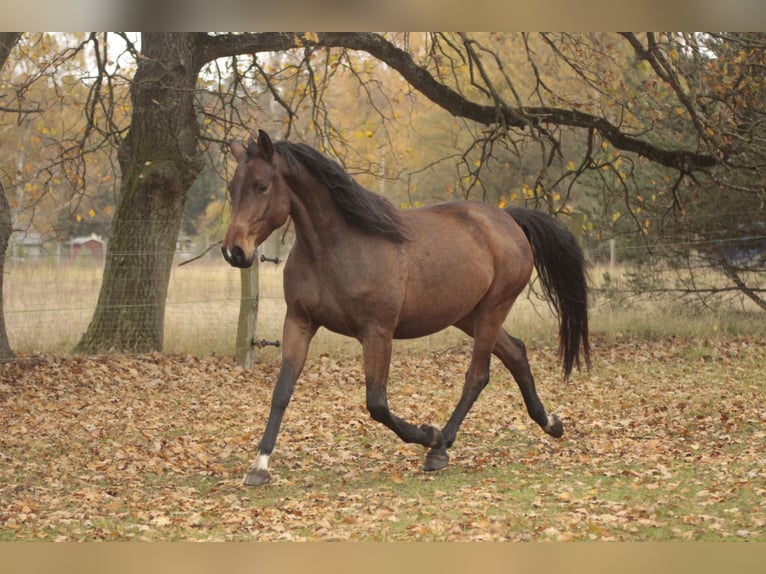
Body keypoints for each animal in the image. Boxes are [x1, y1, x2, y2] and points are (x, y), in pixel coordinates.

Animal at [224, 129, 592, 486]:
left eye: (262, 185)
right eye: (231, 188)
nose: (234, 252)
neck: (337, 248)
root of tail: (508, 220)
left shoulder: (377, 332)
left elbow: (376, 403)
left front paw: (428, 434)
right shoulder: (300, 321)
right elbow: (282, 391)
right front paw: (259, 466)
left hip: (492, 309)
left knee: (477, 375)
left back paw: (440, 447)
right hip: (467, 315)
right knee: (515, 352)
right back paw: (550, 423)